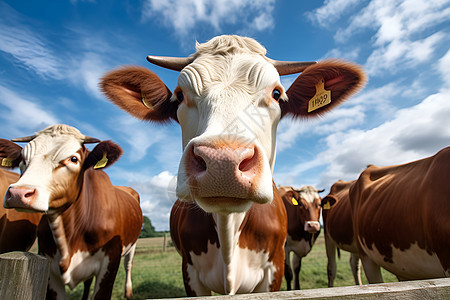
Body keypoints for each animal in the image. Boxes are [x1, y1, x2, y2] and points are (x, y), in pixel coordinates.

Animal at [1, 125, 142, 300]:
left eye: (74, 159)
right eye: (22, 159)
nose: (18, 193)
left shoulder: (110, 262)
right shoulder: (50, 270)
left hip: (132, 245)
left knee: (128, 265)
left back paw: (128, 293)